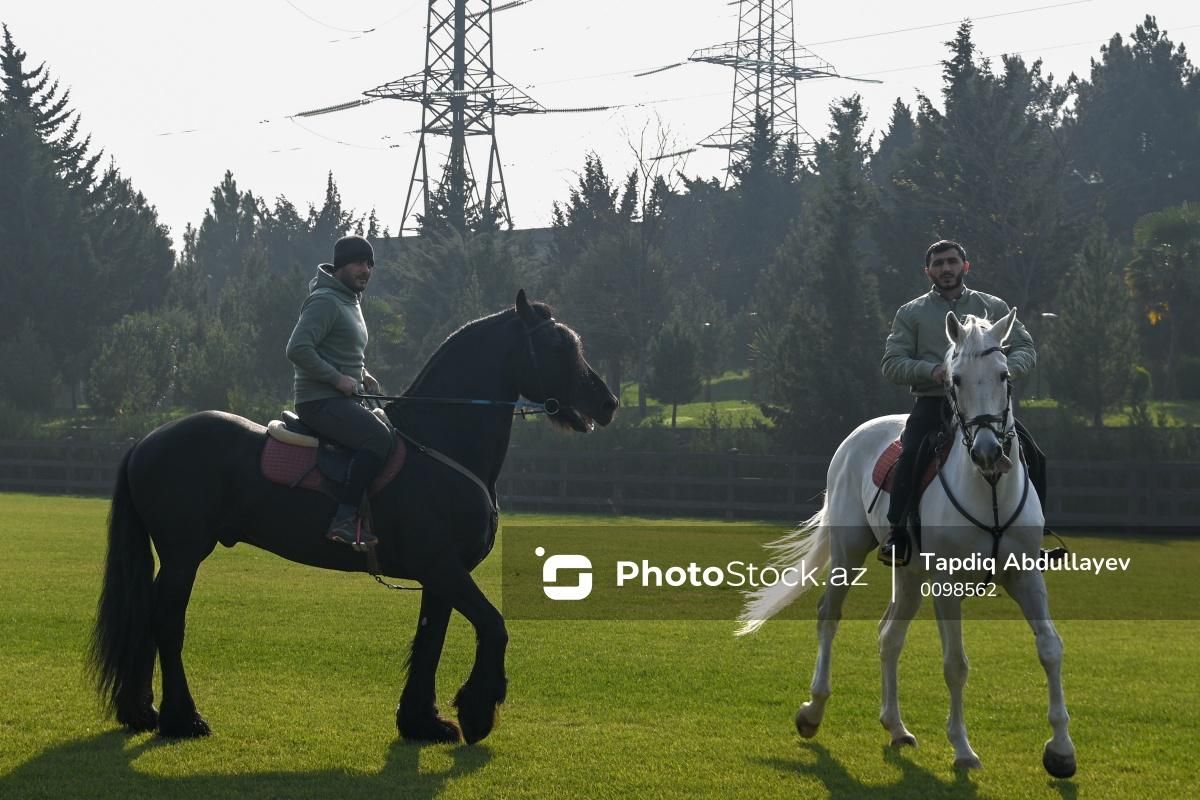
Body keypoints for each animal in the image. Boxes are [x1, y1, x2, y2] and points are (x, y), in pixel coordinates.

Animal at [87, 292, 619, 743]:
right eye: (558, 346)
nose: (608, 402)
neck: (439, 443)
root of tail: (148, 440)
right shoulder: (443, 566)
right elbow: (493, 625)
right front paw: (477, 710)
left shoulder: (440, 575)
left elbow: (431, 639)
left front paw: (421, 721)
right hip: (184, 554)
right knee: (166, 621)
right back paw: (183, 718)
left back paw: (142, 711)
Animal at [739, 309, 1080, 777]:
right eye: (955, 379)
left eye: (1004, 374)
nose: (988, 452)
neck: (988, 490)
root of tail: (854, 438)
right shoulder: (947, 587)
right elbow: (956, 665)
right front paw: (963, 749)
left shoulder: (1026, 577)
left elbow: (1050, 648)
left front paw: (1061, 750)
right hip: (849, 553)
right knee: (830, 615)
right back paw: (813, 711)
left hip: (911, 576)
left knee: (889, 635)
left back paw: (896, 727)